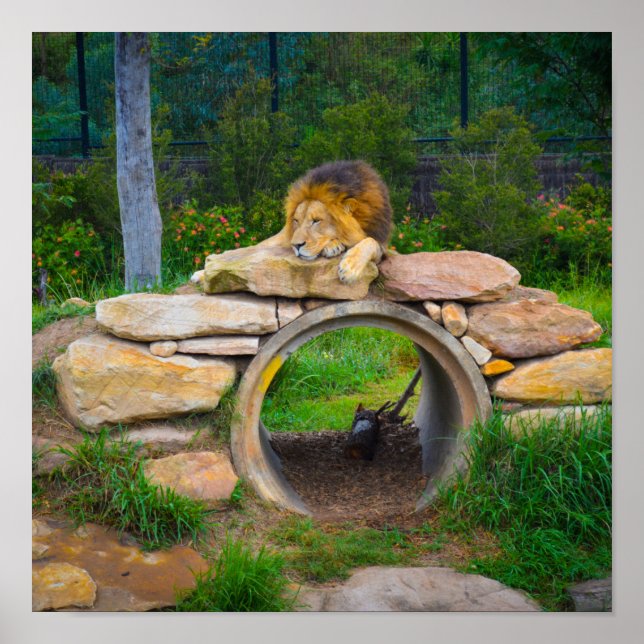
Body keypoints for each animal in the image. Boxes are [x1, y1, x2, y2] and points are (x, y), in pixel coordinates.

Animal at [192, 160, 393, 284]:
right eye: (296, 220)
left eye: (316, 221)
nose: (296, 245)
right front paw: (333, 246)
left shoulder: (381, 244)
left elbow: (369, 242)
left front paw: (349, 268)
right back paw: (201, 274)